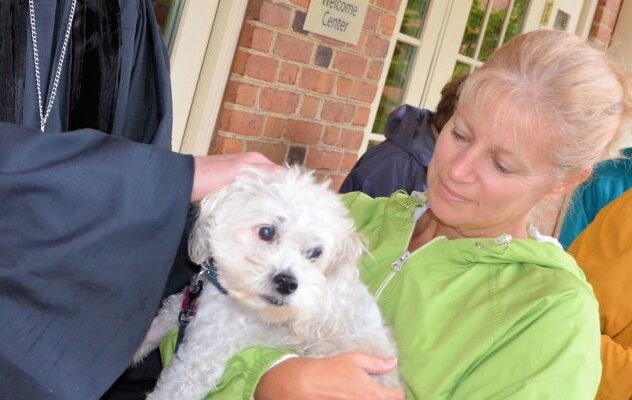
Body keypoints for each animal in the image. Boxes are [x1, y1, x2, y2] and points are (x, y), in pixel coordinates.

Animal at [134, 167, 400, 398]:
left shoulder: (202, 359)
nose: (287, 283)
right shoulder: (183, 306)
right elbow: (152, 329)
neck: (231, 296)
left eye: (315, 253)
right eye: (266, 232)